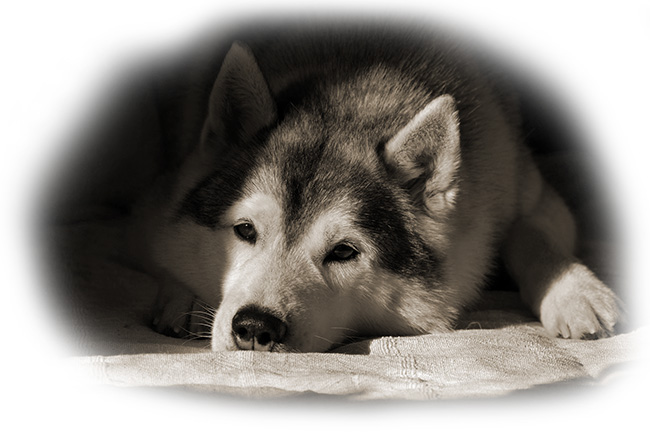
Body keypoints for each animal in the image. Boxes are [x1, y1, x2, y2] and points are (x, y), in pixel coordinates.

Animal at [131, 23, 620, 352]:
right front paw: (182, 294)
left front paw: (574, 293)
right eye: (245, 231)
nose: (254, 327)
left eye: (344, 252)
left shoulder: (528, 192)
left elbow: (529, 234)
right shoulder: (156, 202)